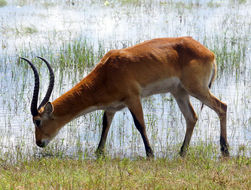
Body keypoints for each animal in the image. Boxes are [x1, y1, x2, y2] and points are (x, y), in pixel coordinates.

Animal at [21, 36, 229, 157]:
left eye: (37, 121)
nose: (39, 142)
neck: (107, 72)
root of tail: (208, 52)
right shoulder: (111, 108)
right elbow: (105, 127)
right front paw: (98, 153)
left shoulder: (133, 98)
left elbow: (140, 125)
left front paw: (150, 154)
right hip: (179, 92)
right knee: (191, 117)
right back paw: (182, 152)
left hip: (196, 89)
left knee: (222, 107)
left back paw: (224, 149)